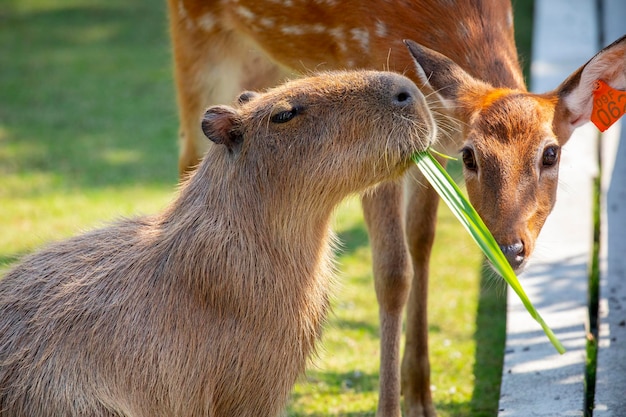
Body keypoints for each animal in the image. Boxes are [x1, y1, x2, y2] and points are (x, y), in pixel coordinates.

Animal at [166, 1, 624, 414]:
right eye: (471, 156)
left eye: (551, 153)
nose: (509, 249)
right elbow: (393, 272)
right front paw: (392, 405)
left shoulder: (432, 146)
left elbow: (422, 244)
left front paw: (421, 398)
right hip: (197, 34)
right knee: (190, 155)